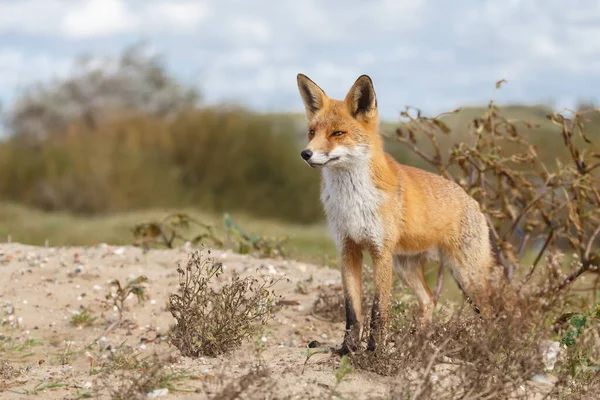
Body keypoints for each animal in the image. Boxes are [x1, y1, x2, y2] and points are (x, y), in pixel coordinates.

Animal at [298, 74, 494, 354]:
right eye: (312, 132)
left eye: (338, 133)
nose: (306, 153)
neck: (353, 202)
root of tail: (474, 201)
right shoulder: (347, 249)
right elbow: (352, 310)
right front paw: (347, 349)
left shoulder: (381, 252)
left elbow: (378, 309)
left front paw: (374, 352)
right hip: (406, 268)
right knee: (429, 300)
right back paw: (416, 345)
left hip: (467, 276)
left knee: (492, 314)